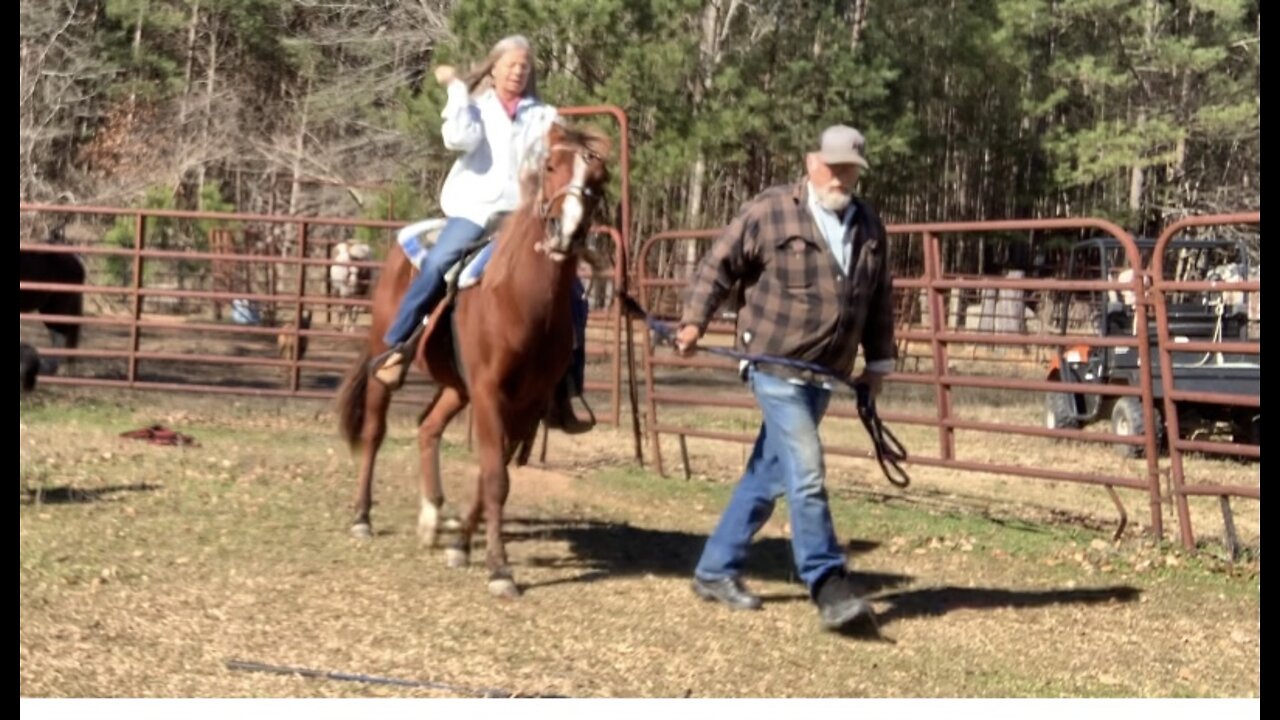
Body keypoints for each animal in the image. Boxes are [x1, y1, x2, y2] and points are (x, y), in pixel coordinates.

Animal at [330, 121, 609, 594]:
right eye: (551, 166)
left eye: (599, 181)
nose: (566, 231)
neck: (520, 300)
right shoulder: (489, 391)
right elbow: (495, 478)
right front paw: (500, 569)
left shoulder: (526, 403)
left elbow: (492, 473)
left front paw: (460, 544)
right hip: (386, 360)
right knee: (374, 431)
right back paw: (362, 516)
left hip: (457, 388)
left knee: (428, 428)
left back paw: (432, 517)